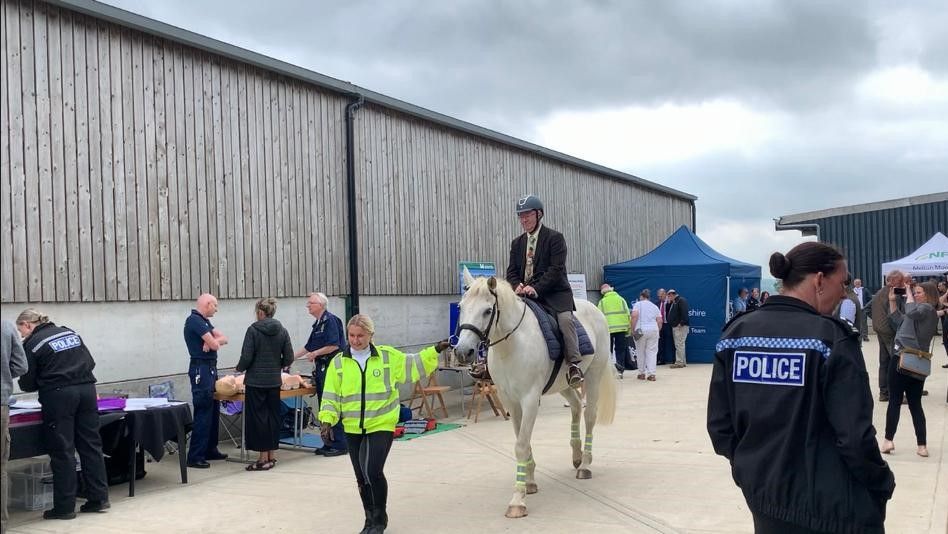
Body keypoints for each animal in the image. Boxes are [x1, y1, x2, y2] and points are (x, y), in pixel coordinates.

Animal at [454, 272, 620, 520]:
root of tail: (595, 309)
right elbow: (522, 440)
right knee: (575, 405)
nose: (463, 352)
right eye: (461, 307)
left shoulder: (530, 399)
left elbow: (521, 445)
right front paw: (530, 482)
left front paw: (517, 500)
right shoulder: (510, 401)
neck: (510, 347)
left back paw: (585, 465)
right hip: (563, 384)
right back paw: (577, 454)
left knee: (589, 415)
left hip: (593, 376)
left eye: (487, 310)